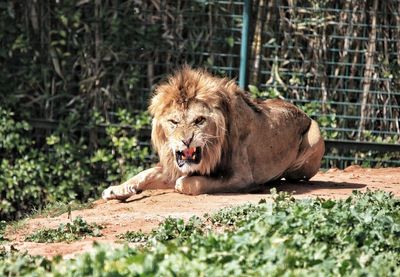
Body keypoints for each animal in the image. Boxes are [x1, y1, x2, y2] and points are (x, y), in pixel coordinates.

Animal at [101, 67, 324, 199]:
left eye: (199, 120)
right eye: (174, 122)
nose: (186, 140)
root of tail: (304, 113)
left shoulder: (241, 178)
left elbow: (187, 184)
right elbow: (145, 174)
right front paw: (118, 189)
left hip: (314, 135)